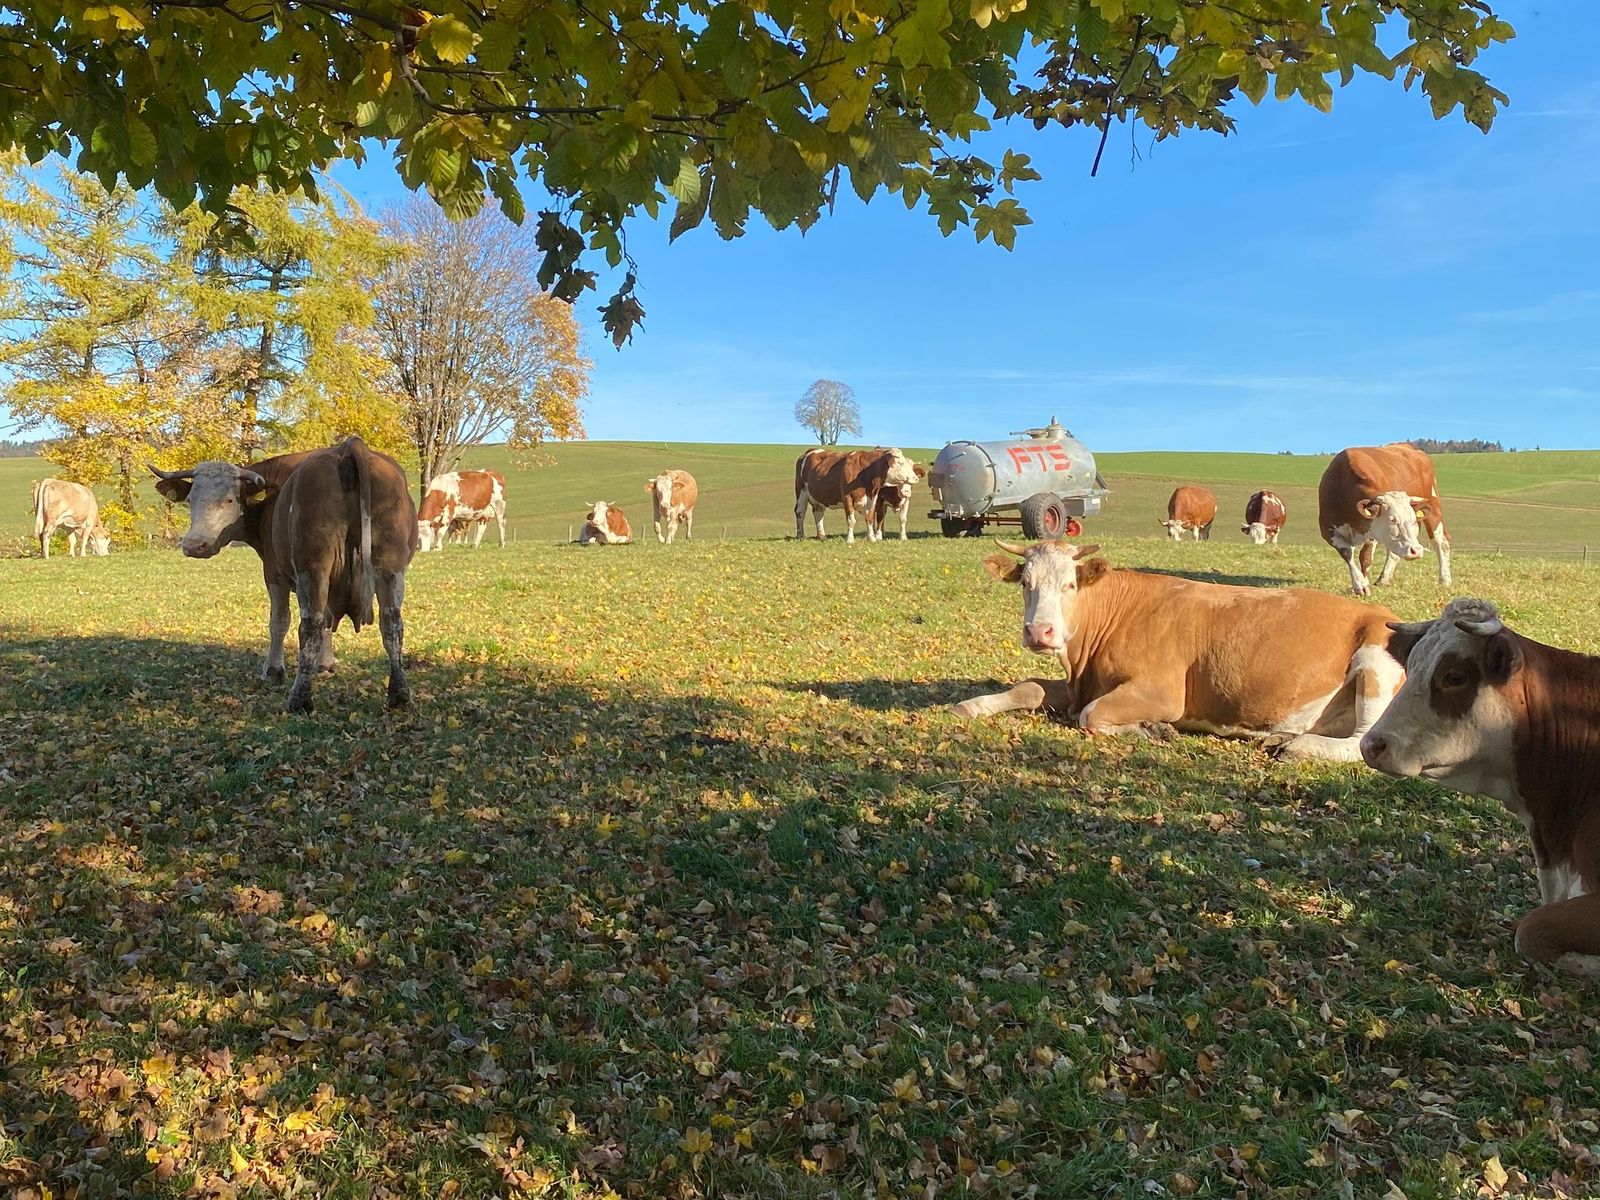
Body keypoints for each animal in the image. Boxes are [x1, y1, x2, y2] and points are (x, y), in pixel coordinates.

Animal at [150, 436, 418, 714]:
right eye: (191, 498)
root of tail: (348, 447)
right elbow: (328, 620)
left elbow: (279, 621)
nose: (194, 545)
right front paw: (326, 664)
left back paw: (300, 698)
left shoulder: (273, 572)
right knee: (391, 623)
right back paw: (400, 695)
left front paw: (274, 670)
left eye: (230, 500)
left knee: (309, 625)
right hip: (390, 567)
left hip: (313, 567)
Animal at [794, 448, 924, 543]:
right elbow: (851, 520)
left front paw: (871, 538)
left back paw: (822, 536)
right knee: (800, 512)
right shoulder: (847, 497)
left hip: (819, 497)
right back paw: (800, 535)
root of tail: (810, 451)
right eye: (901, 463)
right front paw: (850, 539)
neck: (865, 472)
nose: (916, 478)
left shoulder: (872, 497)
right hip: (801, 493)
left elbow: (870, 519)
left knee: (818, 513)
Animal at [954, 540, 1405, 762]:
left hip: (1375, 662)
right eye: (1025, 583)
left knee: (1362, 741)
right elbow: (1029, 686)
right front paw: (972, 705)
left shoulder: (1162, 693)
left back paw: (1296, 748)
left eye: (1069, 584)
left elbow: (1090, 715)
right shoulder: (1083, 683)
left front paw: (1150, 729)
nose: (1039, 632)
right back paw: (1281, 736)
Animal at [1318, 444, 1451, 596]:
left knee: (1441, 542)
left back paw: (1445, 580)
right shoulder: (1327, 530)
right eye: (1392, 520)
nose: (1416, 551)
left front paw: (1363, 584)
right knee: (1393, 552)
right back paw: (1384, 579)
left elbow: (1365, 557)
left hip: (1434, 508)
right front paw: (1360, 584)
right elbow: (1347, 554)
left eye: (1412, 520)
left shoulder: (1373, 530)